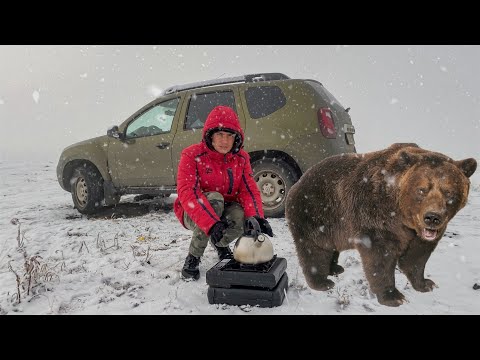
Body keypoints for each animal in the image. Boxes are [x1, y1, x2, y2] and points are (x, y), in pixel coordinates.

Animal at [284, 143, 476, 306]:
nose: (432, 217)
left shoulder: (420, 233)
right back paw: (322, 282)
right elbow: (380, 255)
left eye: (449, 192)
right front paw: (393, 296)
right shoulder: (376, 214)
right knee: (314, 249)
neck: (403, 216)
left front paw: (426, 283)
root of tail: (298, 182)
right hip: (315, 213)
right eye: (422, 189)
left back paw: (335, 268)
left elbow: (417, 255)